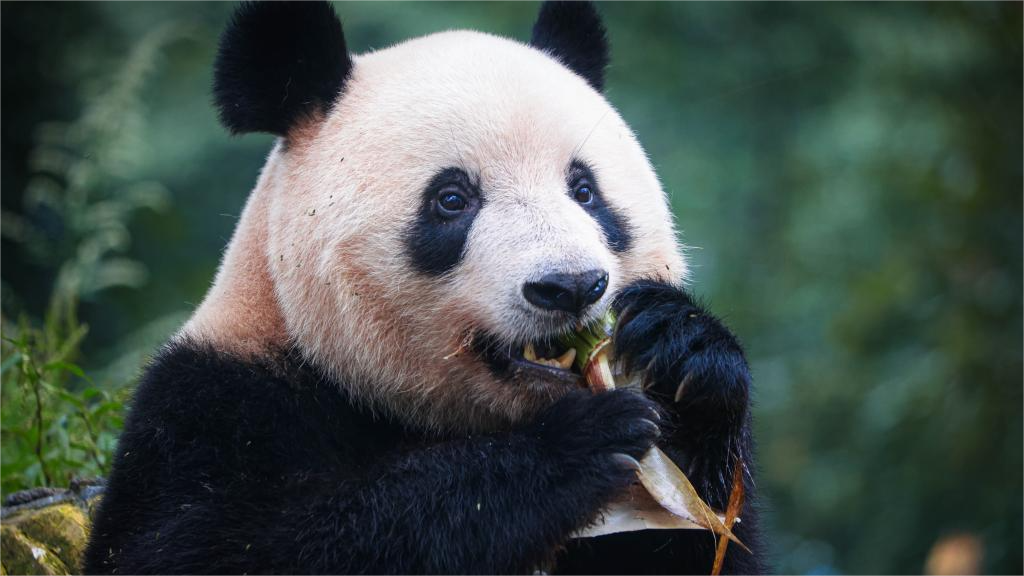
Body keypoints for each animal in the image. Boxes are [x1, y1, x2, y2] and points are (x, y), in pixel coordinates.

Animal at [81, 0, 761, 569]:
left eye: (585, 190)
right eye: (452, 199)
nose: (569, 286)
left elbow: (700, 535)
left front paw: (685, 351)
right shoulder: (213, 410)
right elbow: (211, 548)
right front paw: (572, 448)